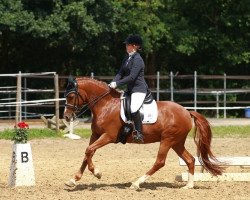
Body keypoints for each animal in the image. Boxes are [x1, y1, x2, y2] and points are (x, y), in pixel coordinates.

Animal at [63, 76, 224, 191]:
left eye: (70, 96)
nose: (66, 116)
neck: (105, 105)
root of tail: (186, 111)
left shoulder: (108, 136)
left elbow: (89, 150)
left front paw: (97, 172)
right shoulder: (95, 135)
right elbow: (87, 153)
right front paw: (73, 180)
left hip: (167, 140)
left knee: (160, 162)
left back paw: (136, 183)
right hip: (176, 142)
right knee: (190, 159)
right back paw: (189, 186)